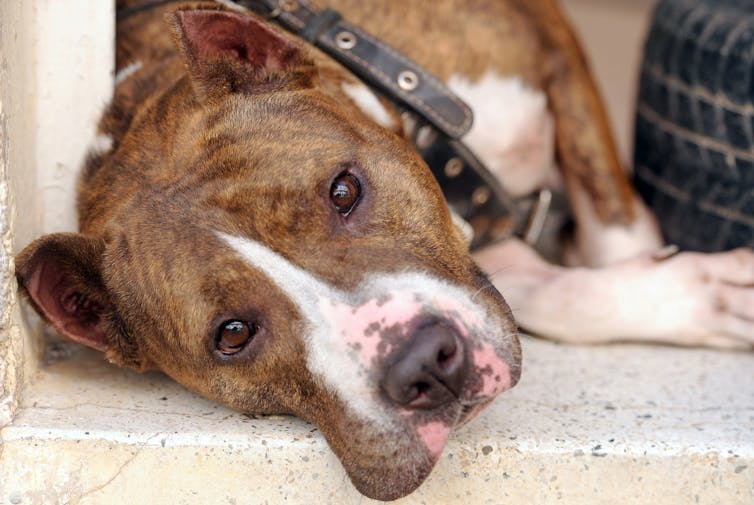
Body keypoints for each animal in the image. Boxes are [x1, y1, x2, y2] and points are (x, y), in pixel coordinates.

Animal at [13, 0, 752, 498]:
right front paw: (695, 298)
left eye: (344, 190)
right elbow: (547, 291)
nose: (425, 366)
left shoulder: (552, 49)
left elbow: (613, 222)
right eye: (232, 334)